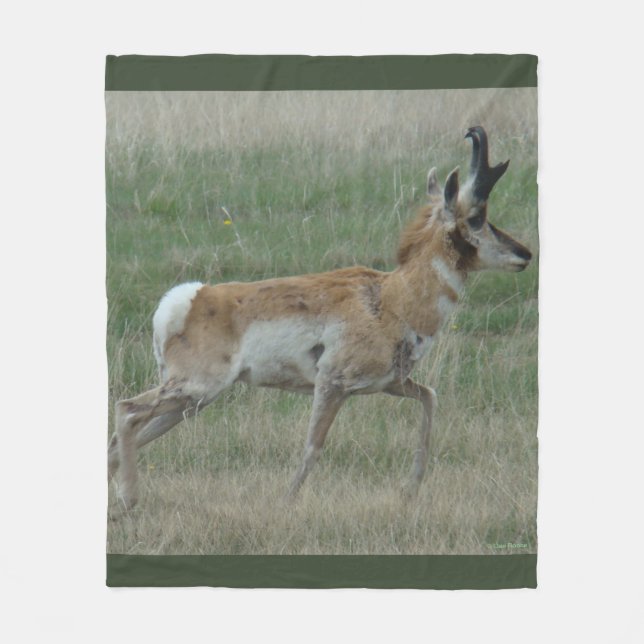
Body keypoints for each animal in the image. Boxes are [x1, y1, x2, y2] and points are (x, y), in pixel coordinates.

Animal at [108, 126, 532, 510]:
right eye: (476, 218)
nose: (525, 253)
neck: (392, 298)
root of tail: (188, 299)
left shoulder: (390, 383)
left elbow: (430, 398)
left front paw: (410, 492)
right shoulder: (332, 384)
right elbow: (313, 445)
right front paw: (285, 503)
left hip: (192, 401)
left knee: (123, 435)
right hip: (196, 389)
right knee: (126, 411)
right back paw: (129, 498)